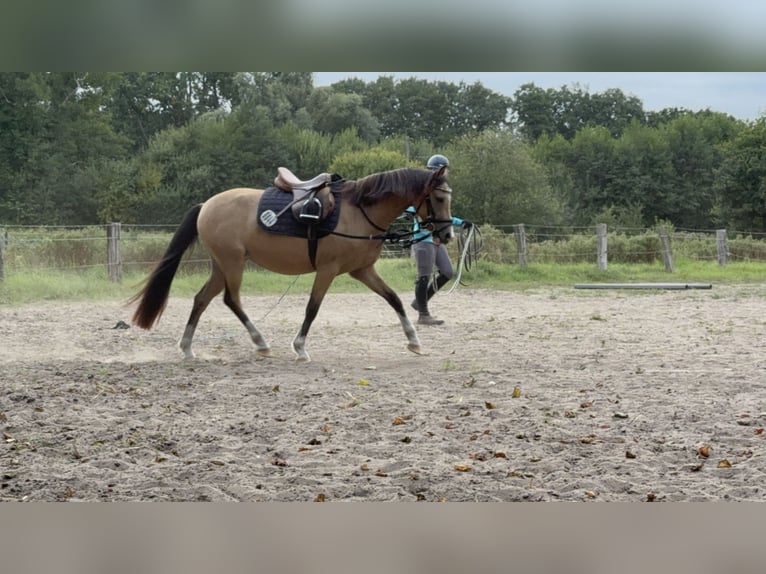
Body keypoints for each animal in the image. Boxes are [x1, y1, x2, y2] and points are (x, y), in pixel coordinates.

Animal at [130, 166, 454, 362]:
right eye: (438, 198)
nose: (447, 234)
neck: (359, 211)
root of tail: (206, 205)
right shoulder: (327, 271)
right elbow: (312, 308)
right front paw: (300, 348)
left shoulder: (362, 270)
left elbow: (394, 299)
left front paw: (413, 340)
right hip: (232, 263)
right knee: (231, 300)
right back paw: (260, 342)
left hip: (221, 265)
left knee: (201, 299)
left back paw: (187, 348)